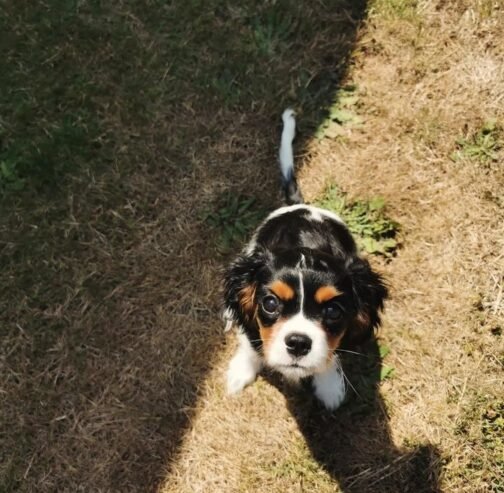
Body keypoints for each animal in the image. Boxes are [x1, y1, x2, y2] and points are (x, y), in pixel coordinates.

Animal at [222, 109, 388, 410]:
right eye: (270, 303)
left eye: (334, 311)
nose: (298, 343)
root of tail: (301, 205)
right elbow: (250, 341)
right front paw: (242, 370)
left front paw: (329, 386)